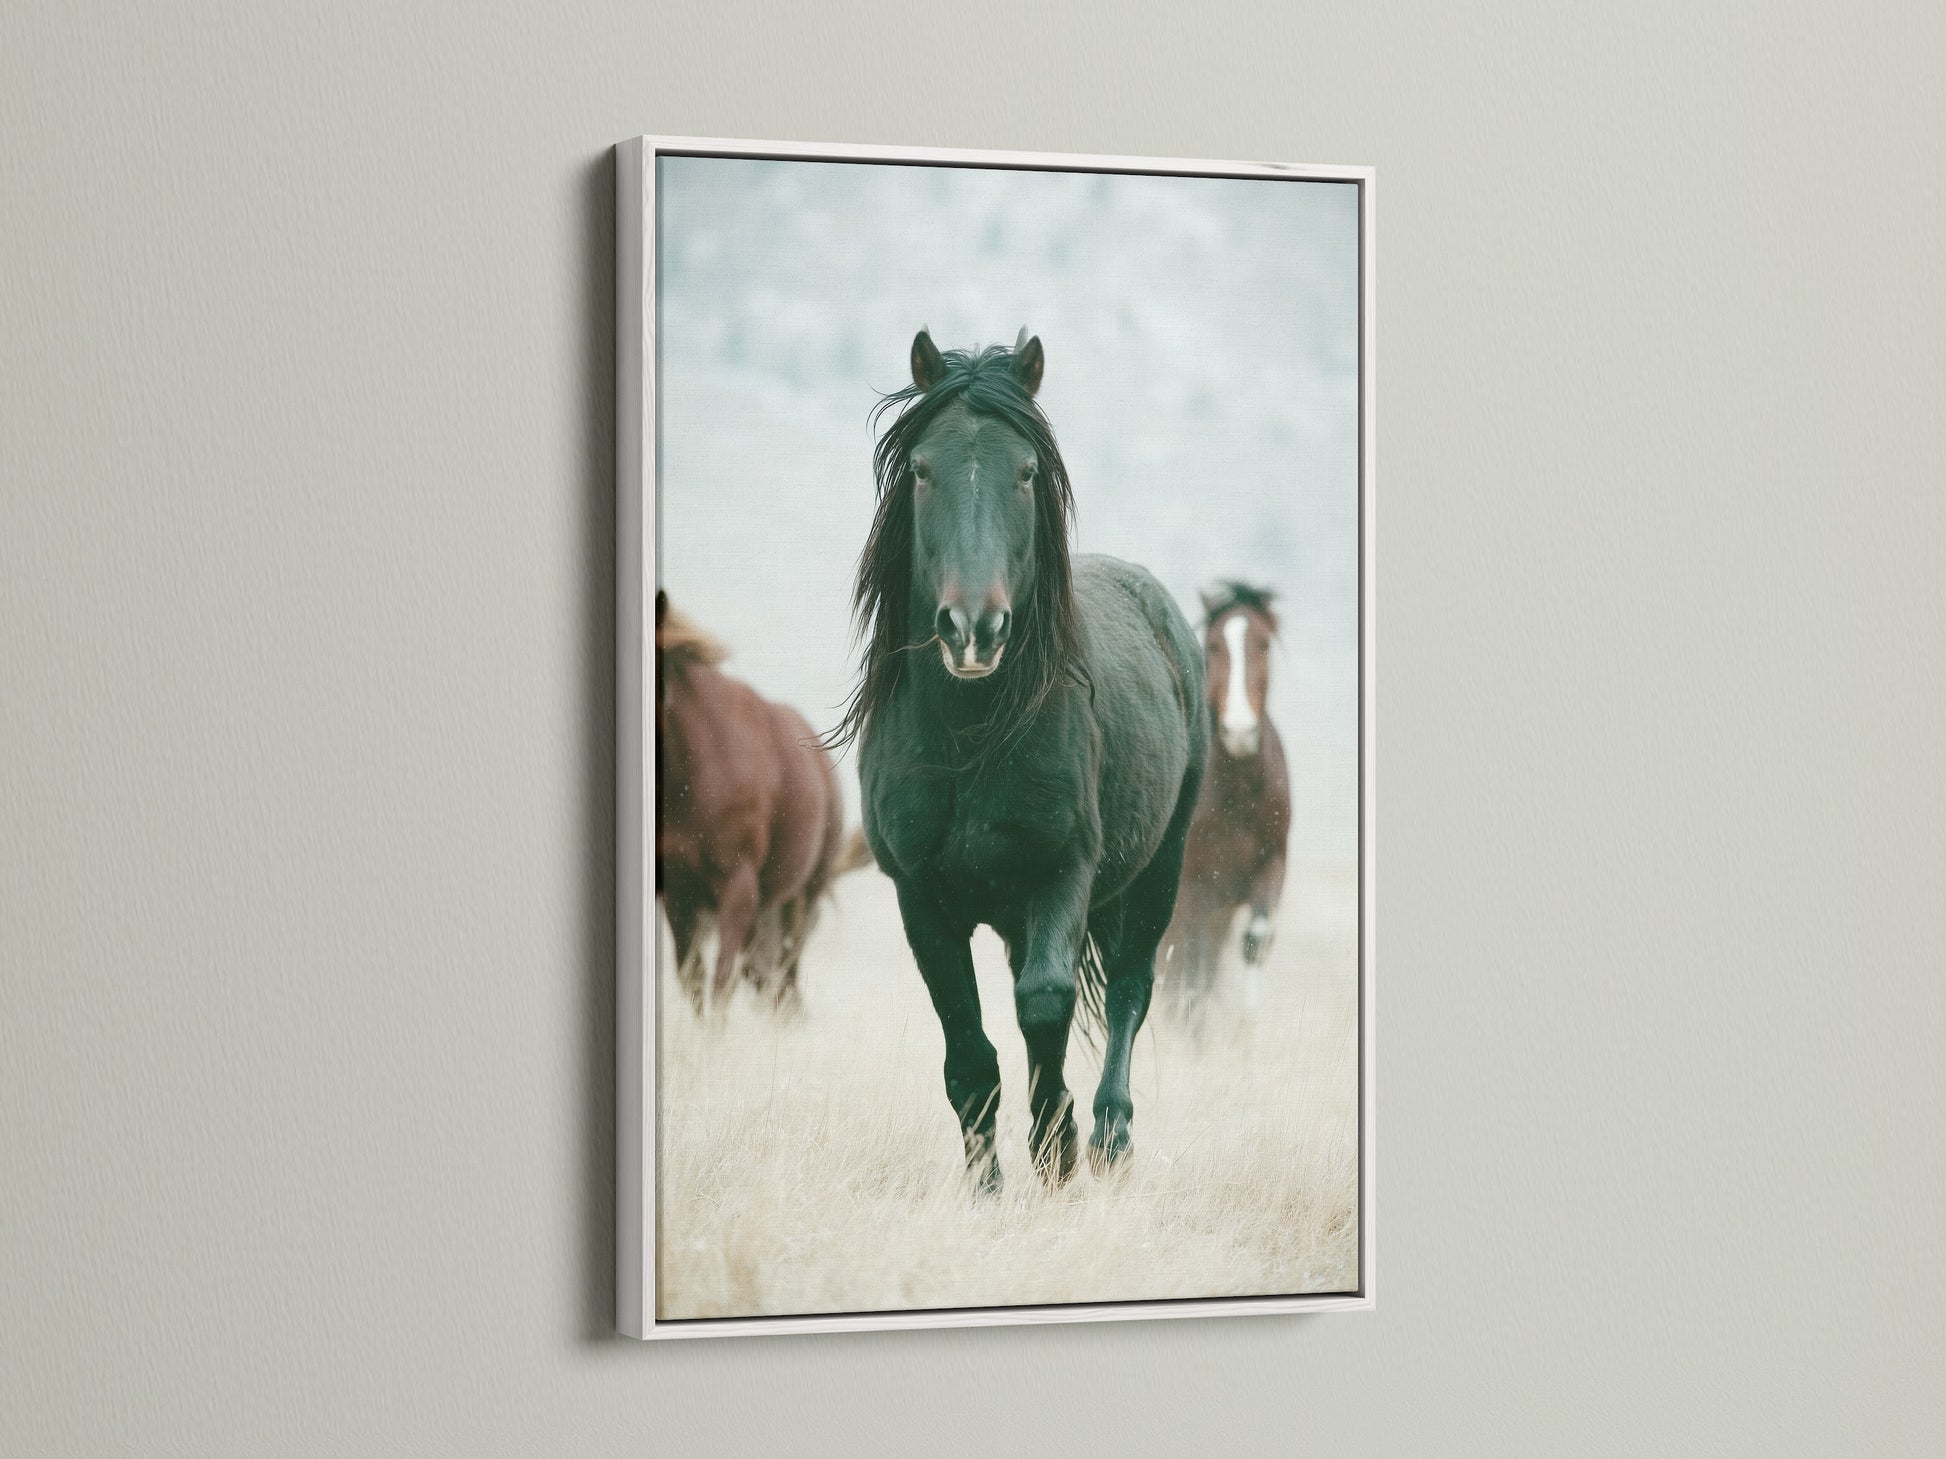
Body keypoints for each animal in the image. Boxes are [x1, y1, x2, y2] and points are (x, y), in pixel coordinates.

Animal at [655, 590, 846, 1015]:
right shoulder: (679, 893)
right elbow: (694, 982)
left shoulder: (738, 887)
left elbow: (720, 984)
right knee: (766, 975)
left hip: (801, 898)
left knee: (784, 974)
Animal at [831, 328, 1208, 1192]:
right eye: (923, 469)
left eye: (1027, 471)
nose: (975, 628)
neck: (969, 743)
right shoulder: (921, 899)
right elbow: (969, 1050)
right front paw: (988, 1187)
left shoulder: (1062, 872)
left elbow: (1045, 1002)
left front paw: (1057, 1148)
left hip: (1160, 866)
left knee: (1130, 989)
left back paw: (1108, 1134)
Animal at [1163, 582, 1291, 1031]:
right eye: (1214, 645)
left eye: (1263, 644)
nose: (1239, 731)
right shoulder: (1193, 887)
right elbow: (1189, 969)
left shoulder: (1272, 862)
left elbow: (1255, 940)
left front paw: (1245, 1031)